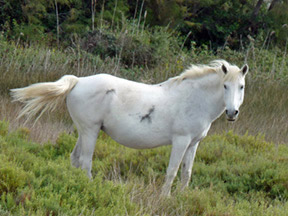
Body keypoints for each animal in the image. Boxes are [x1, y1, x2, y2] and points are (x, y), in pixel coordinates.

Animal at [11, 59, 248, 196]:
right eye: (224, 86)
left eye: (241, 86)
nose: (232, 113)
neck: (194, 98)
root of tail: (78, 81)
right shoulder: (180, 141)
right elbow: (172, 171)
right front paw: (165, 198)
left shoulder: (193, 143)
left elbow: (186, 172)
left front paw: (182, 197)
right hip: (90, 131)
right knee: (86, 162)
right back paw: (92, 188)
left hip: (84, 131)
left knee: (75, 158)